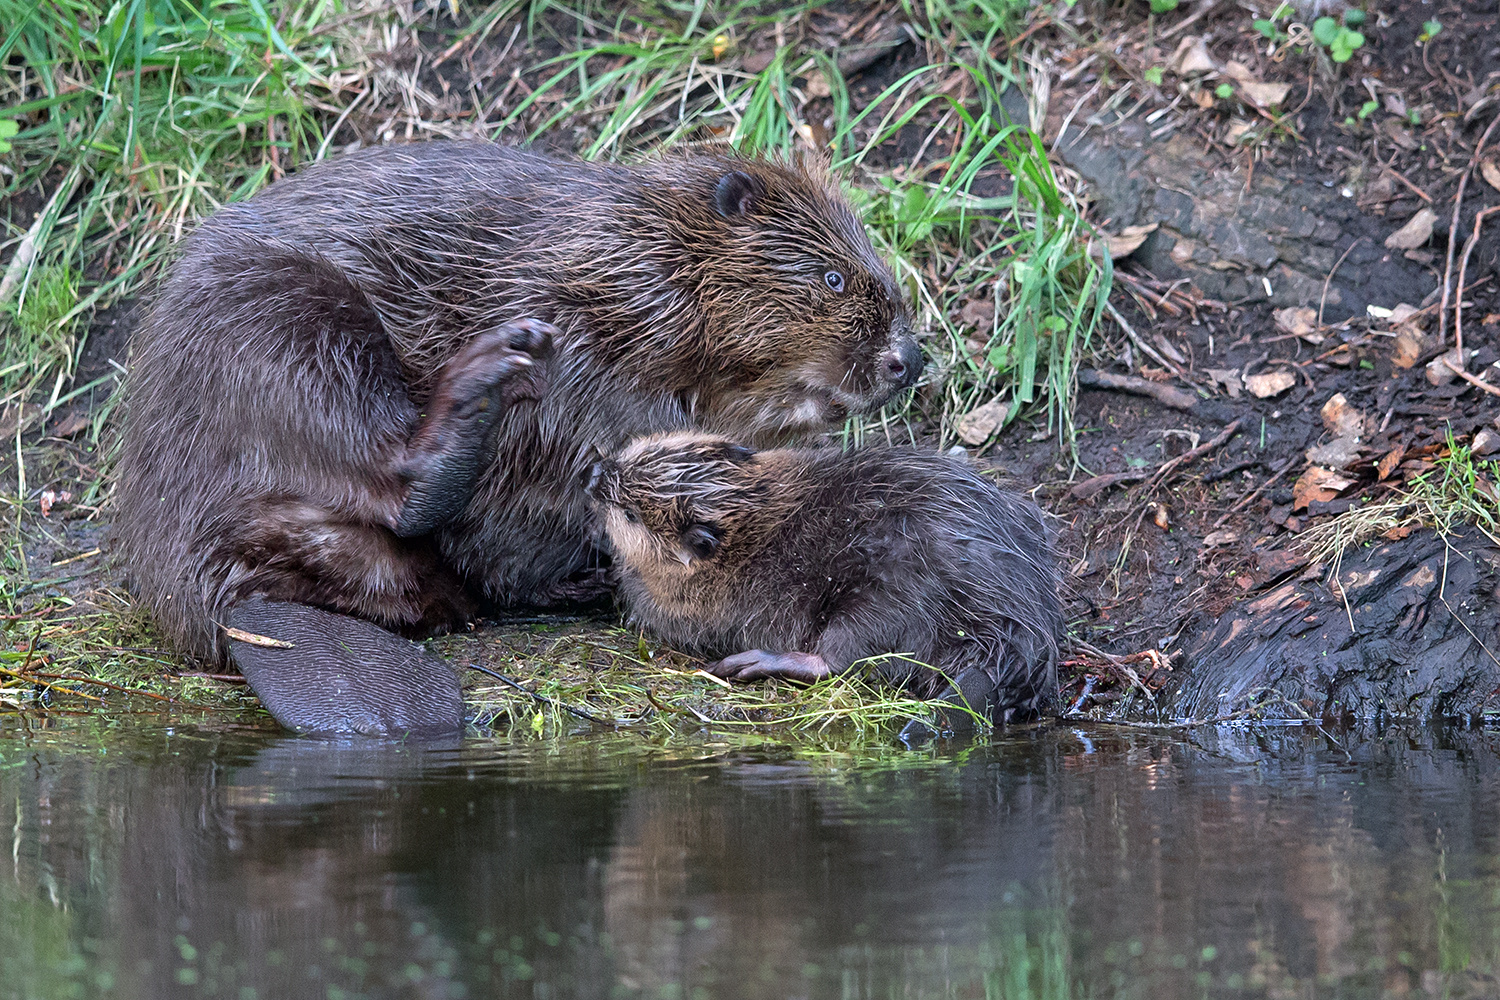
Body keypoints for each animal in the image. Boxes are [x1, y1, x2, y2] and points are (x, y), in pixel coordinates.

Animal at [117, 140, 918, 734]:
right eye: (833, 278)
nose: (909, 359)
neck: (639, 256)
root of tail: (242, 606)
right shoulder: (575, 308)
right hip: (283, 321)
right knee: (397, 482)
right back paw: (487, 377)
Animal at [579, 434, 1062, 722]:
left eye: (629, 514)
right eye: (640, 450)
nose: (594, 475)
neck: (754, 517)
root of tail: (1010, 641)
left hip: (890, 597)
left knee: (844, 662)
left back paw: (749, 663)